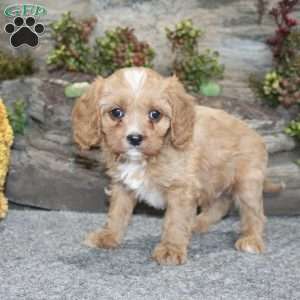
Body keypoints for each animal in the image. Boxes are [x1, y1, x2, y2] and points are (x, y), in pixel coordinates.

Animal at [71, 66, 282, 264]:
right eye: (116, 112)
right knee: (220, 205)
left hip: (247, 184)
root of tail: (256, 134)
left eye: (155, 114)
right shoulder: (122, 185)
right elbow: (117, 212)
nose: (135, 138)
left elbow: (175, 221)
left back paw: (251, 240)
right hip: (212, 181)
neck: (147, 158)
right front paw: (109, 236)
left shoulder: (181, 189)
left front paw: (170, 249)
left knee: (254, 213)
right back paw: (197, 223)